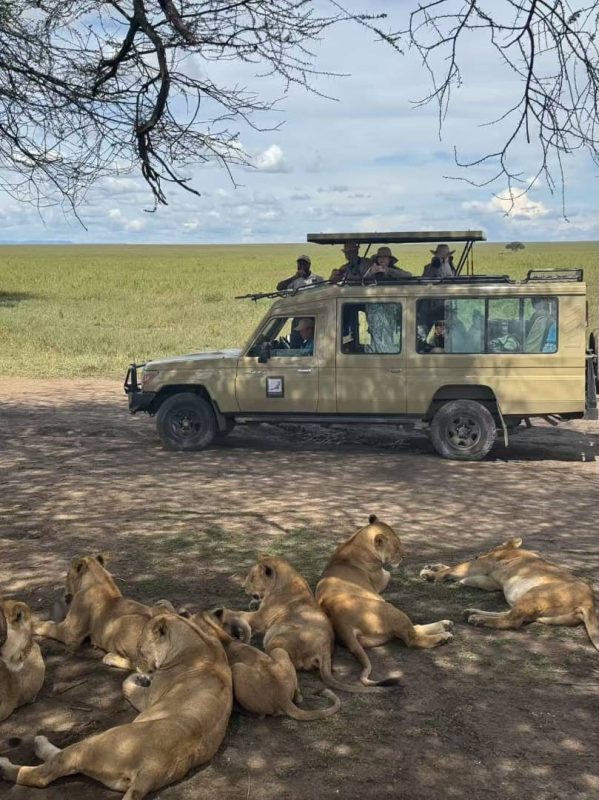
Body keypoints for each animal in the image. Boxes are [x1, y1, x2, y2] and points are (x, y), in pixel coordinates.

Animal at [0, 612, 233, 800]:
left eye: (141, 649)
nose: (140, 665)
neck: (198, 641)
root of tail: (154, 767)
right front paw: (140, 675)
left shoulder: (147, 698)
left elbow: (125, 684)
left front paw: (137, 677)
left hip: (95, 744)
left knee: (45, 773)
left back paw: (21, 755)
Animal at [34, 553, 176, 670]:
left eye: (67, 576)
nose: (65, 593)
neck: (98, 579)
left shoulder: (70, 634)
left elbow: (46, 626)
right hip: (162, 602)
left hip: (122, 622)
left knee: (141, 666)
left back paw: (109, 657)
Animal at [220, 554, 393, 693]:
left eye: (252, 577)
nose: (243, 587)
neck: (283, 582)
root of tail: (323, 650)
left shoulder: (259, 618)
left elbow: (237, 613)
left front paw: (223, 611)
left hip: (275, 639)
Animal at [316, 515, 454, 686]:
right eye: (396, 547)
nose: (405, 556)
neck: (355, 543)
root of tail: (342, 626)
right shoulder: (382, 577)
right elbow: (388, 573)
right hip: (390, 609)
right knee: (411, 638)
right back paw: (443, 636)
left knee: (413, 629)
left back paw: (444, 624)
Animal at [420, 537, 599, 648]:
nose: (477, 554)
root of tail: (590, 602)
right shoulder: (489, 581)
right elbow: (453, 570)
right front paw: (433, 567)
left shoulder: (481, 565)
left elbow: (455, 567)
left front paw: (431, 574)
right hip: (535, 608)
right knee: (511, 615)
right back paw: (473, 612)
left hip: (535, 594)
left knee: (512, 620)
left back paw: (479, 619)